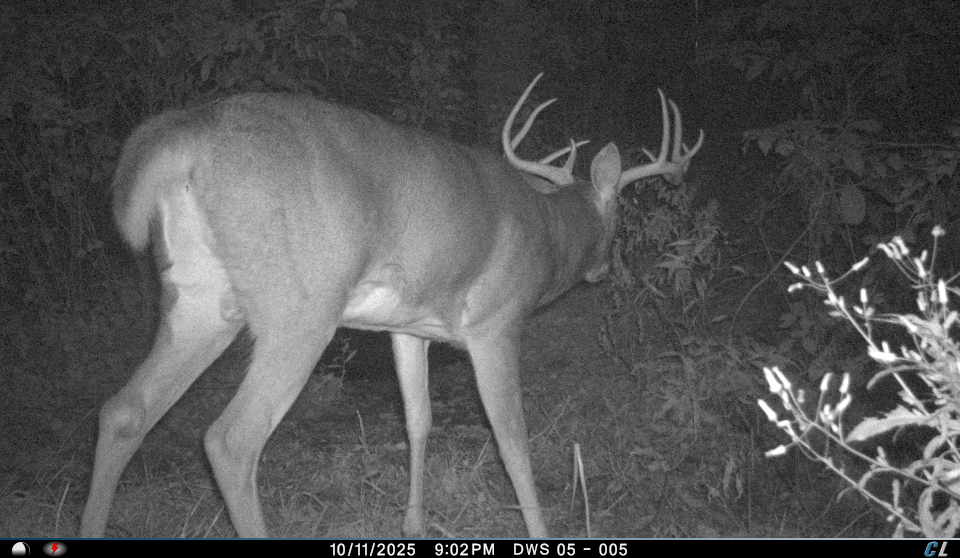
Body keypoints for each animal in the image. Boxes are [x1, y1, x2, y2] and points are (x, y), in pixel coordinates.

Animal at [80, 73, 702, 538]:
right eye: (619, 218)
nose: (605, 270)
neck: (549, 235)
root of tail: (187, 133)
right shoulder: (497, 323)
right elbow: (511, 437)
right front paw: (540, 530)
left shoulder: (410, 327)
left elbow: (418, 420)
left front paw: (413, 523)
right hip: (301, 306)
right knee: (231, 440)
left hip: (200, 299)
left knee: (123, 410)